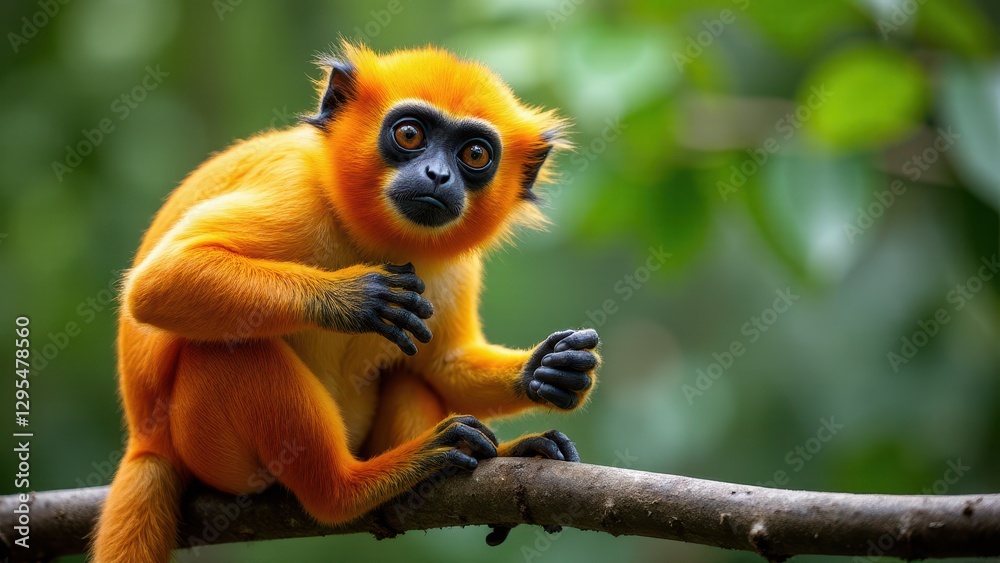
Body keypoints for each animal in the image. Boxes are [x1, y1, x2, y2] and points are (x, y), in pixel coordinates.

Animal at [92, 42, 600, 562]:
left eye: (474, 154)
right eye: (410, 133)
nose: (438, 175)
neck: (375, 240)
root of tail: (146, 441)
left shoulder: (456, 268)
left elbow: (442, 365)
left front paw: (544, 371)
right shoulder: (292, 192)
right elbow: (159, 282)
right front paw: (355, 299)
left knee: (408, 371)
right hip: (210, 455)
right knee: (231, 352)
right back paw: (359, 484)